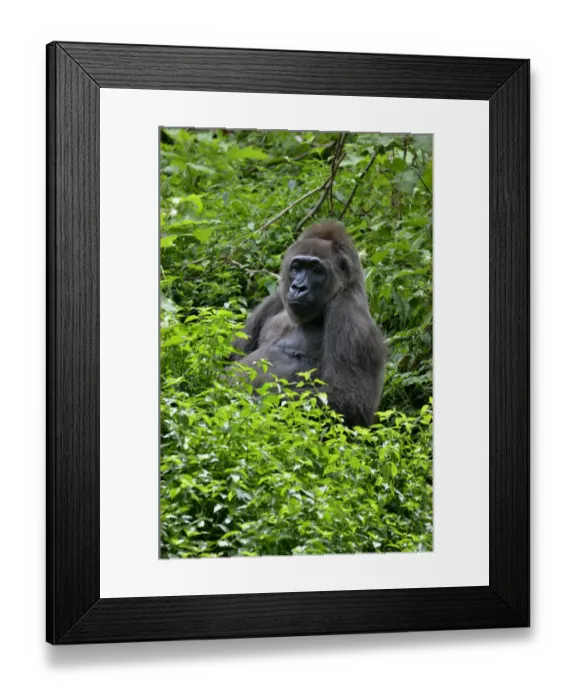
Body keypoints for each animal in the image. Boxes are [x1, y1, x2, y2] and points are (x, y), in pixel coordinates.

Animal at [229, 220, 388, 428]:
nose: (298, 287)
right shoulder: (274, 299)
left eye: (316, 271)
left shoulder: (348, 314)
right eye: (296, 267)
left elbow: (348, 399)